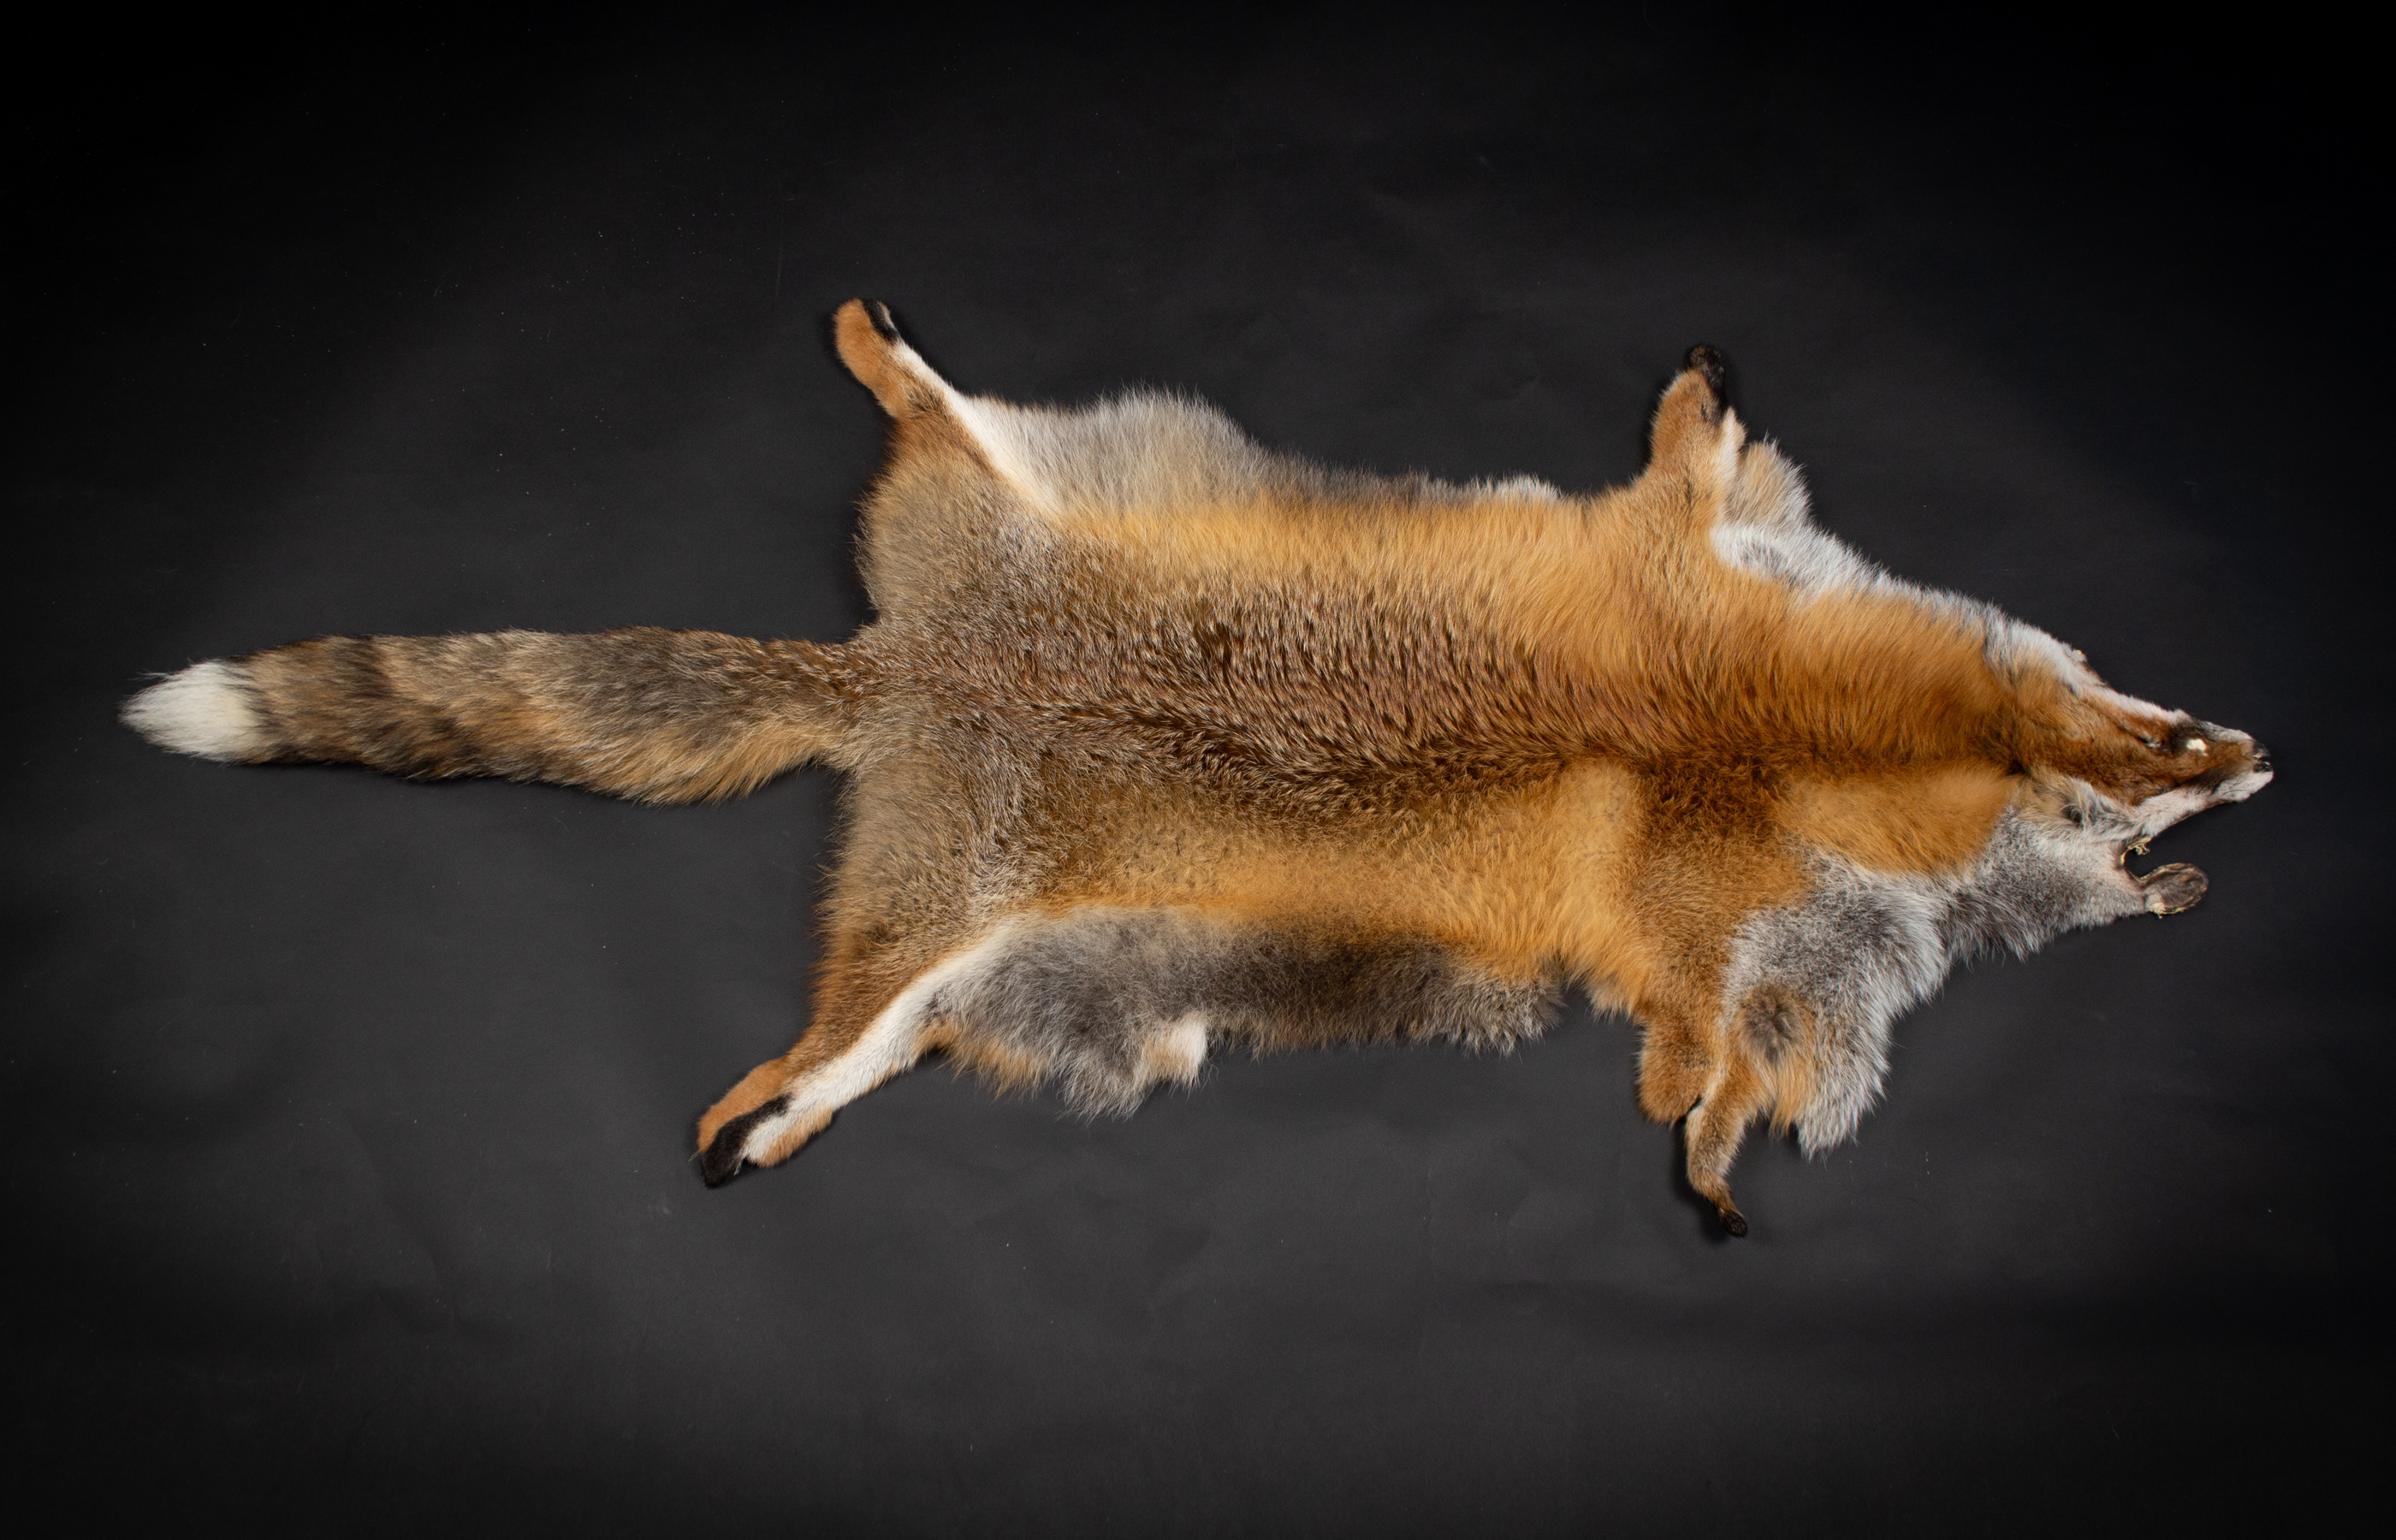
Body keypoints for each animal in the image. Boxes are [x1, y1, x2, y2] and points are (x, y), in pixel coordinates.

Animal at [122, 300, 2273, 1234]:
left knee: (862, 1050)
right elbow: (1712, 1087)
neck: (1761, 745)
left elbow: (1692, 1078)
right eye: (2118, 776)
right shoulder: (1701, 642)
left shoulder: (1715, 862)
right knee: (828, 1029)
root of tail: (892, 674)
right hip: (954, 838)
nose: (2241, 760)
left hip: (976, 936)